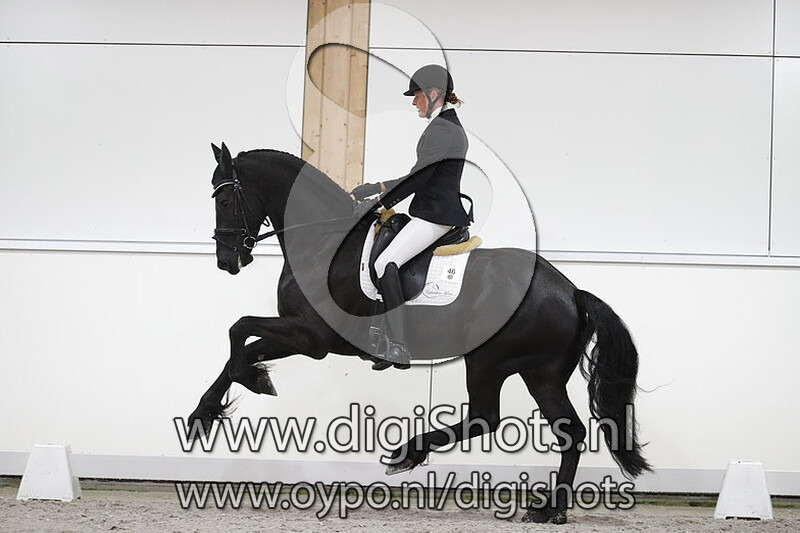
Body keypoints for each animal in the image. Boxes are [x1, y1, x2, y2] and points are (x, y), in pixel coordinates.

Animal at [189, 142, 651, 524]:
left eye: (224, 198)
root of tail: (571, 291)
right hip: (542, 373)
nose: (227, 261)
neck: (323, 241)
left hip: (489, 360)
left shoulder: (311, 337)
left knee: (486, 416)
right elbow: (241, 348)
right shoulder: (302, 336)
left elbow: (238, 331)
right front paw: (211, 409)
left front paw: (243, 388)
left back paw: (409, 453)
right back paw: (550, 510)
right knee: (568, 432)